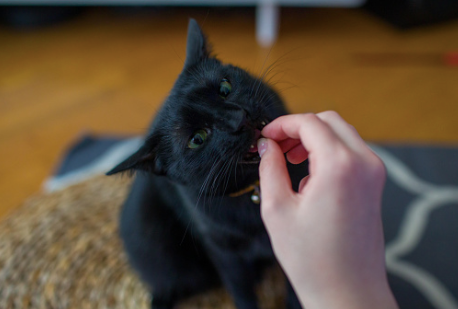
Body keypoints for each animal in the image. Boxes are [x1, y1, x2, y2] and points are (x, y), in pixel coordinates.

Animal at [108, 18, 308, 308]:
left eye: (225, 88)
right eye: (197, 139)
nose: (238, 118)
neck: (255, 192)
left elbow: (295, 284)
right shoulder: (224, 253)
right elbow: (241, 291)